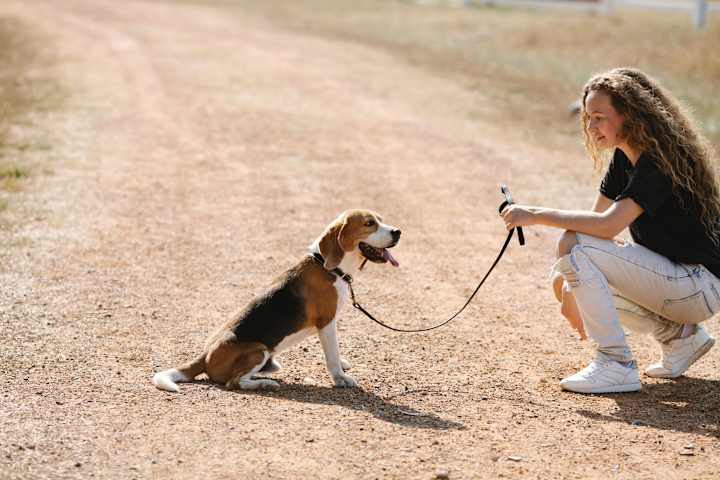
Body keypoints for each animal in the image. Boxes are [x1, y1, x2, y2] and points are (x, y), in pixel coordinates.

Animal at [152, 209, 400, 390]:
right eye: (369, 223)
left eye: (381, 220)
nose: (398, 231)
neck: (328, 267)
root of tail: (204, 357)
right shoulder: (327, 323)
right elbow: (332, 354)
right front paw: (340, 378)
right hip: (258, 351)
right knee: (235, 382)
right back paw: (264, 384)